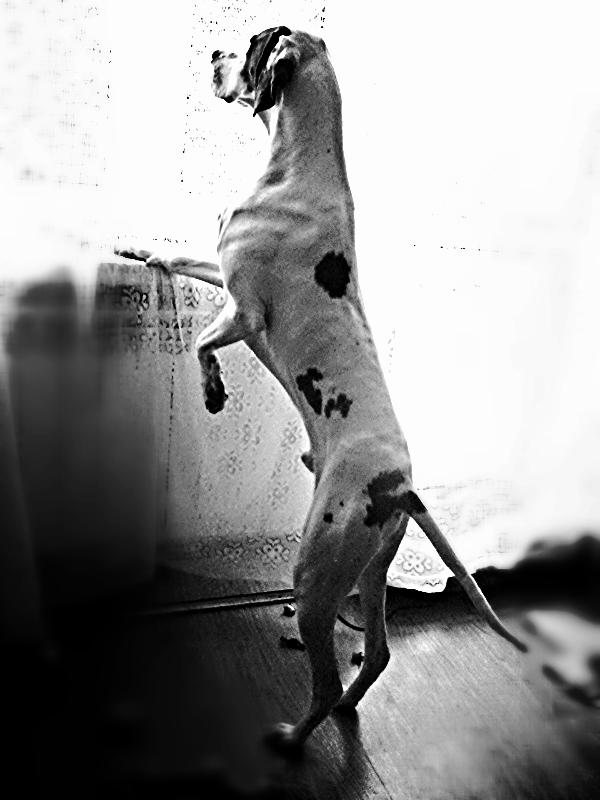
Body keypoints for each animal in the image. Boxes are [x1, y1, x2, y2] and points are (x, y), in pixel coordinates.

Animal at [117, 26, 526, 752]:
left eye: (251, 43)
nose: (212, 53)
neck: (296, 167)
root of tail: (399, 483)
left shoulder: (244, 314)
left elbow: (201, 346)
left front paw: (214, 393)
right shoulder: (220, 273)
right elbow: (174, 256)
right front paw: (139, 251)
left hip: (316, 569)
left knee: (328, 677)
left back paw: (293, 736)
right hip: (367, 569)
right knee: (379, 653)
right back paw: (344, 711)